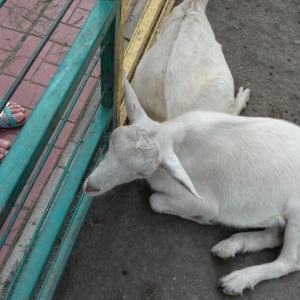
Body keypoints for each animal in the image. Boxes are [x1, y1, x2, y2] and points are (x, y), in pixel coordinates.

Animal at [85, 72, 300, 296]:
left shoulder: (205, 202)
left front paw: (203, 220)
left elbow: (155, 201)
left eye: (142, 172)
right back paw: (230, 247)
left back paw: (238, 279)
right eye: (112, 139)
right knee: (276, 233)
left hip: (297, 209)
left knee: (290, 261)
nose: (90, 186)